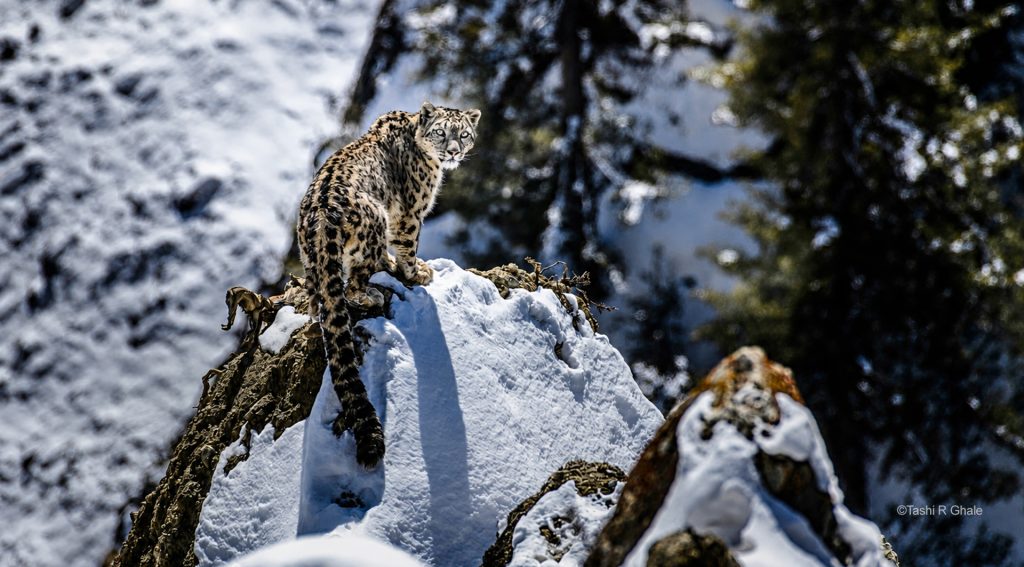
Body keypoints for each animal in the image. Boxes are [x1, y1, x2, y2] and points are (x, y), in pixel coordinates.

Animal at [297, 102, 480, 467]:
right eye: (441, 132)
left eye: (464, 134)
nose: (454, 151)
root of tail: (322, 215)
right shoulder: (410, 214)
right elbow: (409, 244)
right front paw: (416, 272)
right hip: (375, 221)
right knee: (352, 285)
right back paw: (371, 294)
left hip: (310, 264)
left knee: (318, 301)